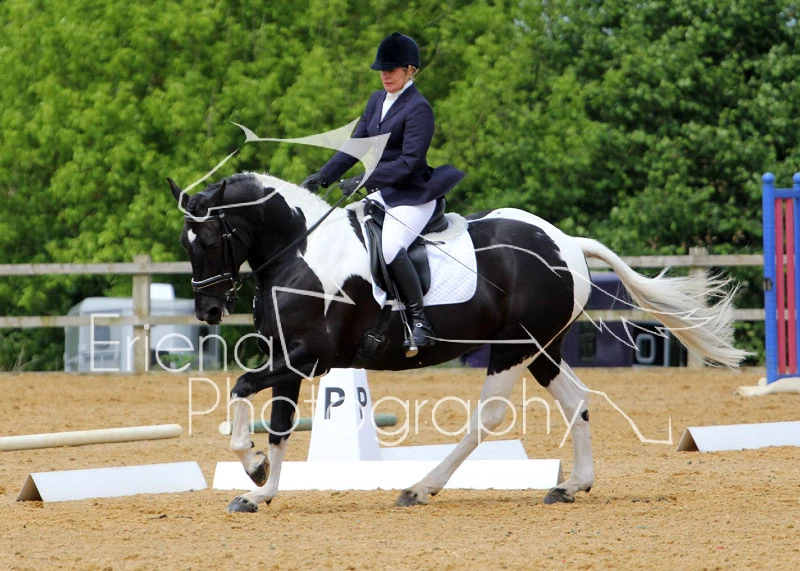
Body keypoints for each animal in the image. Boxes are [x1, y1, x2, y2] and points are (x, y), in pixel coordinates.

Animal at [168, 171, 745, 513]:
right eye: (185, 242)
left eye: (212, 238)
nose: (209, 311)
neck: (301, 251)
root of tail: (564, 242)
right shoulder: (287, 358)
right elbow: (280, 425)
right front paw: (260, 489)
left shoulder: (307, 359)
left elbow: (242, 389)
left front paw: (252, 466)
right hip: (543, 349)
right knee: (577, 401)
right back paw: (571, 485)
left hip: (513, 348)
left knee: (487, 418)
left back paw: (420, 487)